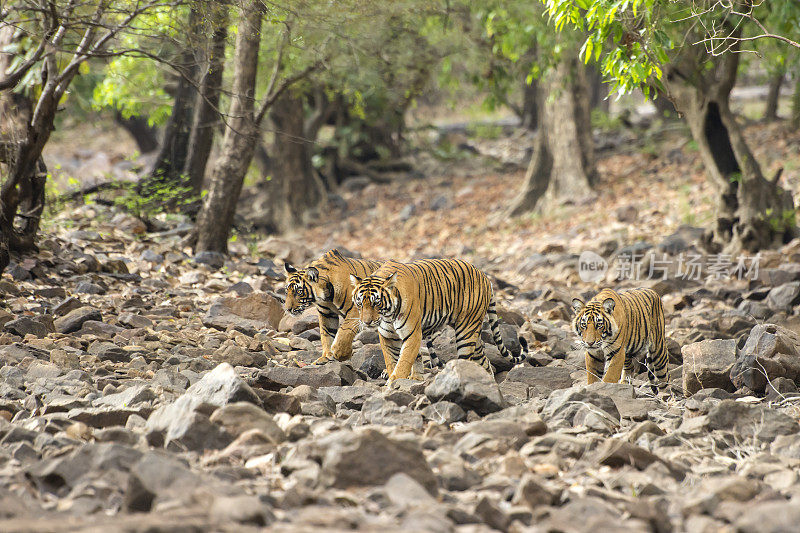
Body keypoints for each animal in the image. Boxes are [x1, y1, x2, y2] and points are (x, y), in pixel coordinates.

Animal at [284, 247, 440, 368]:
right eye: (287, 291)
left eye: (299, 291)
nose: (287, 309)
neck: (326, 295)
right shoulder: (326, 313)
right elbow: (326, 334)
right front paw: (326, 357)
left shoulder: (354, 310)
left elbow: (343, 332)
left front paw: (341, 354)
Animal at [352, 256, 528, 382]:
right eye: (360, 303)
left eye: (376, 303)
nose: (366, 322)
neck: (388, 315)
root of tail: (484, 275)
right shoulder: (387, 336)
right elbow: (393, 361)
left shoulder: (412, 334)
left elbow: (404, 360)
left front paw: (394, 383)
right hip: (473, 334)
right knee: (484, 361)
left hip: (466, 331)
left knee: (465, 361)